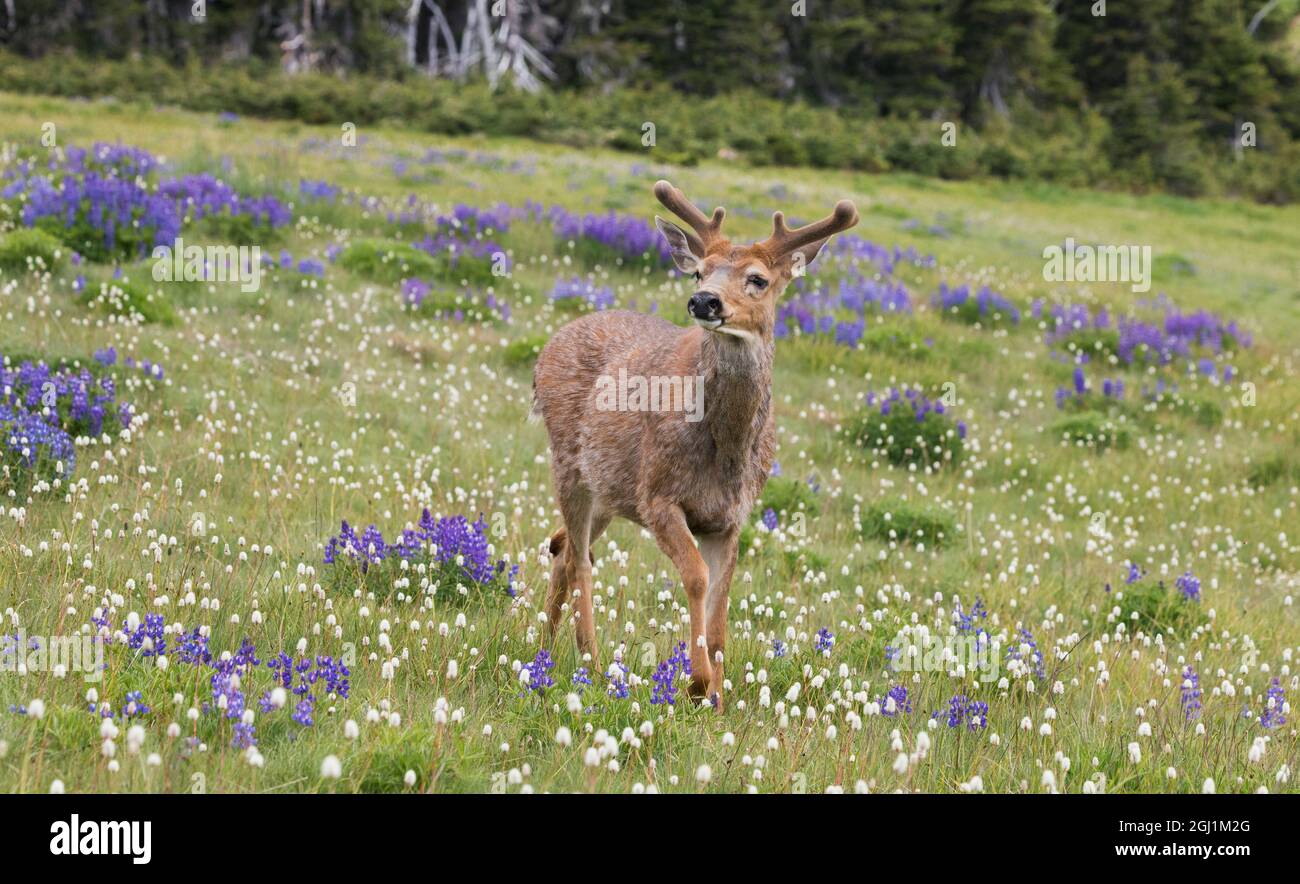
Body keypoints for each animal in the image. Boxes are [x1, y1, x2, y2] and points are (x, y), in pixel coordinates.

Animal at [531, 180, 859, 709]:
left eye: (757, 279)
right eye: (701, 270)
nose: (704, 301)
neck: (725, 450)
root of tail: (548, 346)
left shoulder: (731, 516)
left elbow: (723, 604)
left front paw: (718, 697)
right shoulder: (659, 495)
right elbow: (697, 578)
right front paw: (697, 682)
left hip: (608, 491)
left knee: (562, 549)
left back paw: (543, 647)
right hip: (568, 465)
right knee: (579, 559)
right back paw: (592, 662)